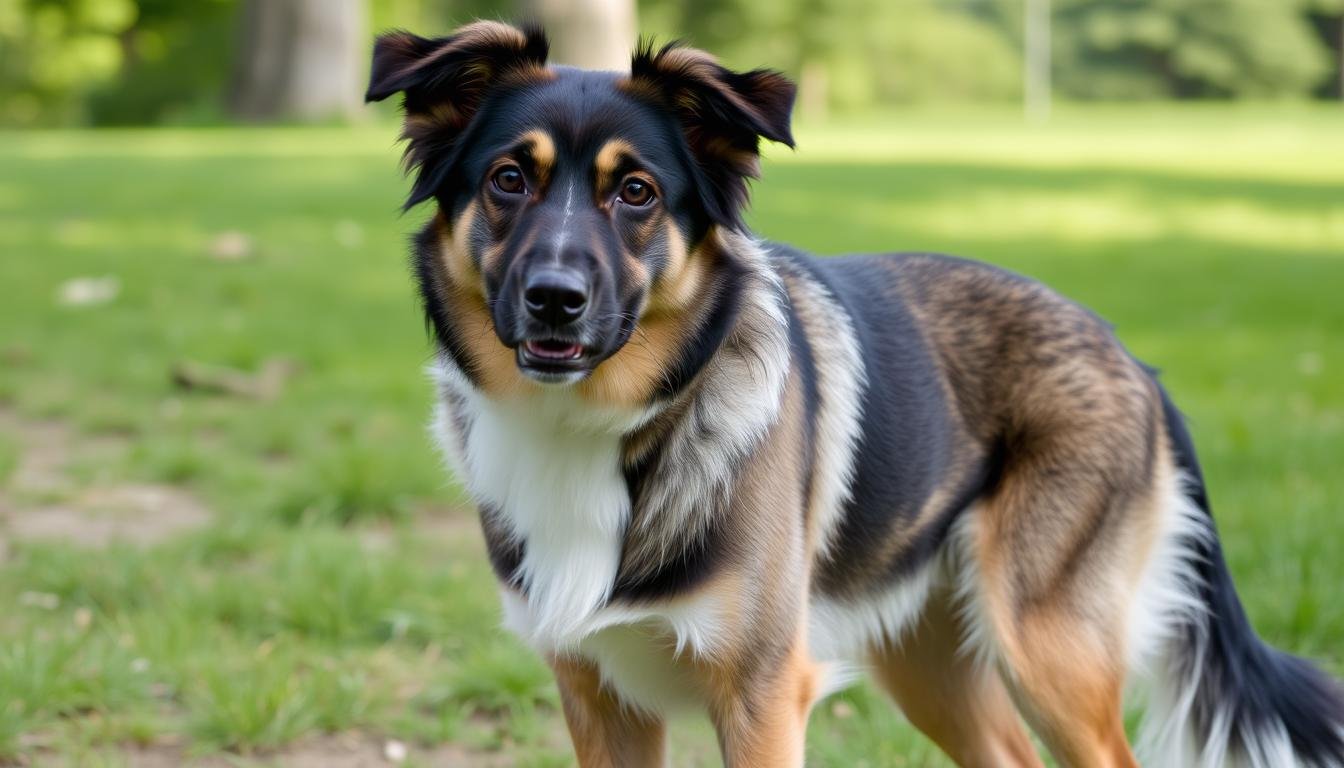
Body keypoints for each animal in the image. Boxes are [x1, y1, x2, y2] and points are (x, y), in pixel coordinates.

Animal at [368, 21, 1344, 763]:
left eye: (636, 193)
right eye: (508, 179)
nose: (555, 297)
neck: (603, 425)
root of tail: (1130, 357)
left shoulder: (762, 696)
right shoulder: (597, 694)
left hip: (1049, 649)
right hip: (929, 661)